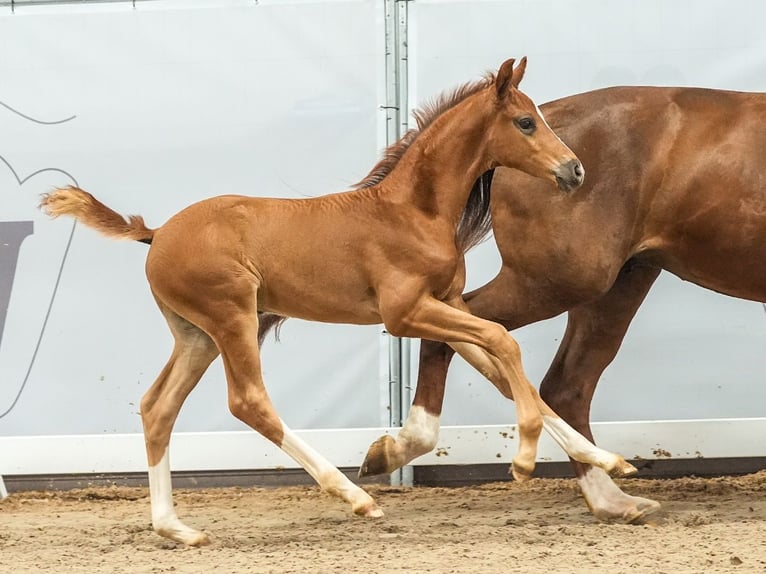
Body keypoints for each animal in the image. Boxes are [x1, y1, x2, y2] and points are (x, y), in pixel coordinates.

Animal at [40, 59, 636, 548]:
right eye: (526, 122)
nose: (575, 170)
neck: (411, 210)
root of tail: (157, 233)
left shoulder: (445, 303)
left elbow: (499, 367)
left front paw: (609, 460)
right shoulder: (403, 313)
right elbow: (502, 343)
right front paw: (525, 458)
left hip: (196, 334)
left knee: (157, 406)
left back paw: (175, 528)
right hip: (231, 317)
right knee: (248, 402)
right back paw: (355, 496)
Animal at [364, 84, 766, 528]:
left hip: (616, 284)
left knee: (565, 384)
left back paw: (612, 497)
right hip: (561, 280)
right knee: (456, 336)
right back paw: (403, 446)